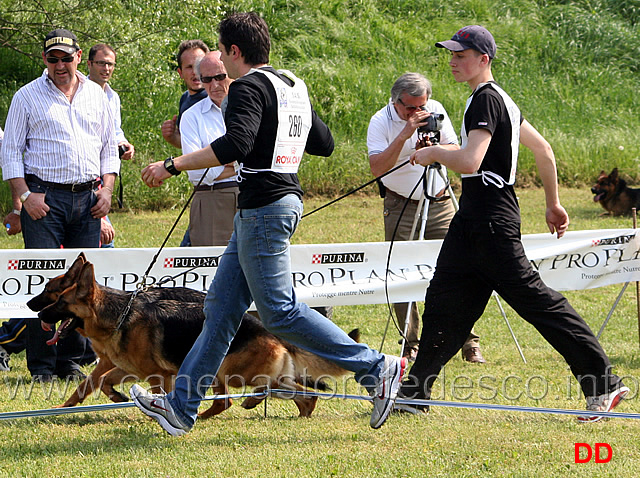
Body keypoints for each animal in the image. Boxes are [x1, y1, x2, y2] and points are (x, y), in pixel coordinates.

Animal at [35, 256, 358, 416]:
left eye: (58, 301)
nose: (36, 314)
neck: (119, 314)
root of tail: (265, 328)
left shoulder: (155, 373)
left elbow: (137, 390)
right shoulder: (125, 367)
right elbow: (94, 383)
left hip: (226, 371)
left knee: (230, 400)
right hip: (250, 373)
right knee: (298, 391)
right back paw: (297, 410)